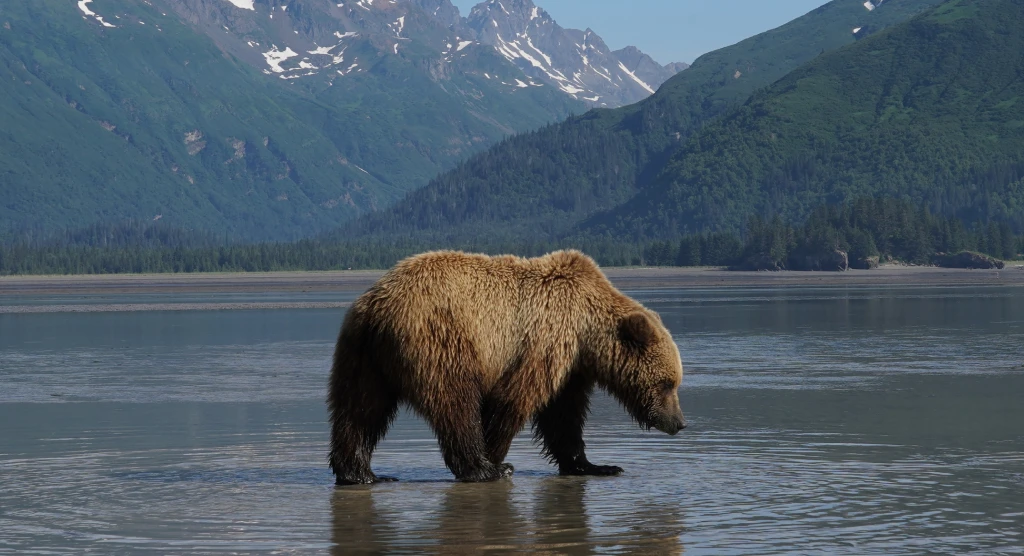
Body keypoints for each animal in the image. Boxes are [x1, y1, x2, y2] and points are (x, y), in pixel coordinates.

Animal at [327, 249, 686, 485]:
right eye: (667, 383)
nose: (679, 423)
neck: (585, 330)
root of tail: (378, 307)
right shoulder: (544, 340)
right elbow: (514, 400)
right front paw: (496, 457)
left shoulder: (571, 367)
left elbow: (564, 417)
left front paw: (597, 466)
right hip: (441, 340)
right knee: (455, 403)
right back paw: (484, 469)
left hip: (362, 354)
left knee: (359, 410)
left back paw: (360, 473)